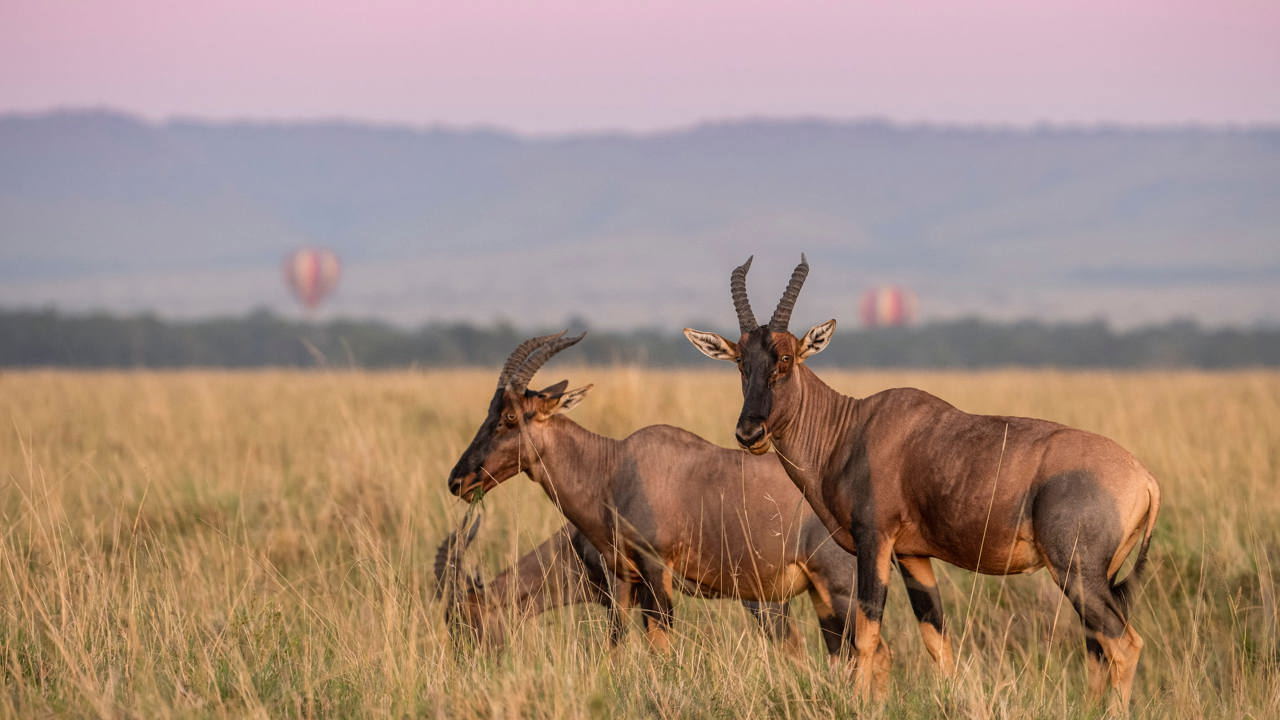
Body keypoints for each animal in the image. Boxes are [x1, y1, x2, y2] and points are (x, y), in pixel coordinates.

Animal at [685, 256, 1160, 712]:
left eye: (786, 358)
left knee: (1124, 643)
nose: (750, 433)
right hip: (1098, 577)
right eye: (741, 361)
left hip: (1077, 571)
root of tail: (1145, 479)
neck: (852, 427)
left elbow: (867, 632)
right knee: (1098, 646)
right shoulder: (913, 555)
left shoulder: (874, 539)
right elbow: (936, 638)